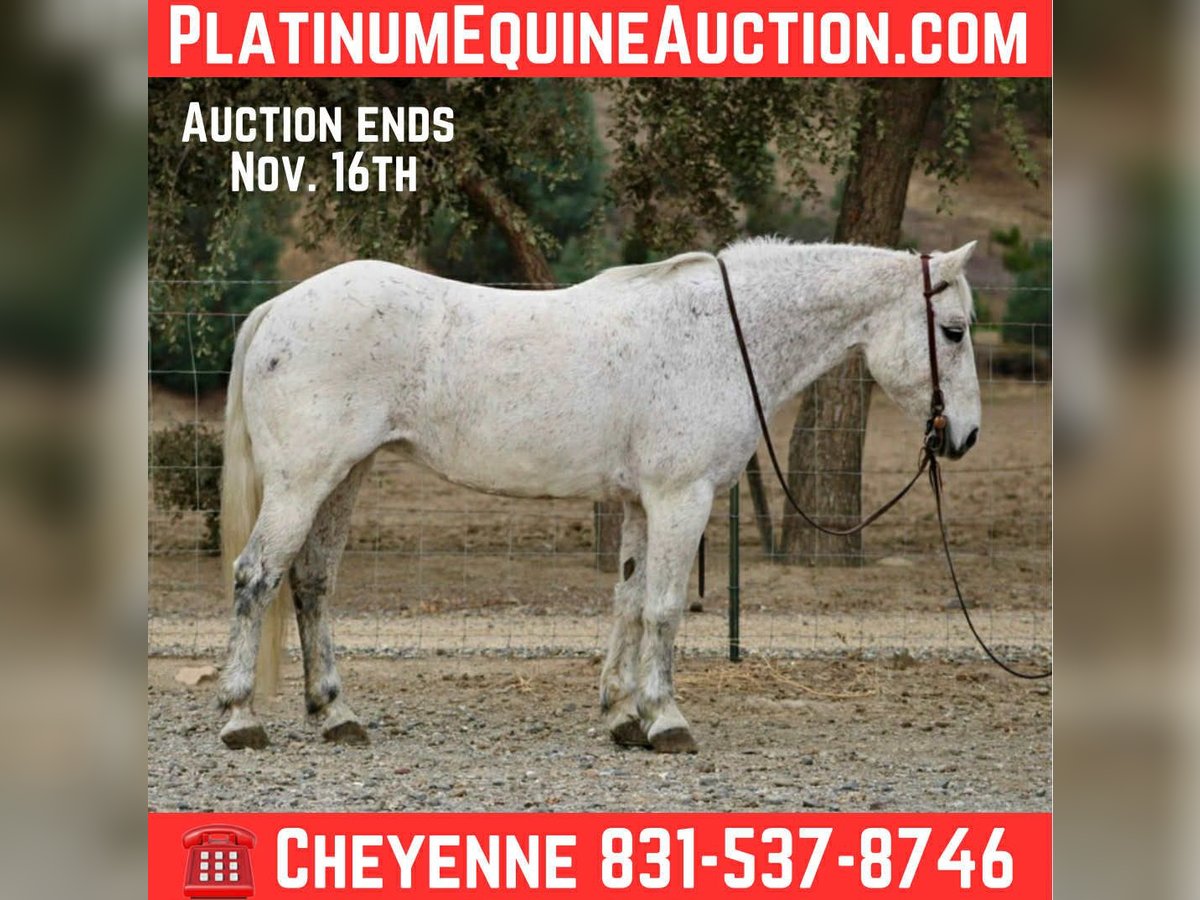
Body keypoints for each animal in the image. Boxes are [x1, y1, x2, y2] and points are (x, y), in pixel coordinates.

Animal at [216, 238, 981, 753]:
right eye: (953, 330)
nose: (964, 436)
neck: (718, 333)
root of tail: (279, 308)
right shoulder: (681, 498)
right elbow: (666, 610)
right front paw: (667, 721)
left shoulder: (643, 503)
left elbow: (629, 603)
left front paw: (622, 714)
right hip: (303, 482)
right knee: (257, 578)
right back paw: (239, 717)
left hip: (344, 478)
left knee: (312, 584)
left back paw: (335, 716)